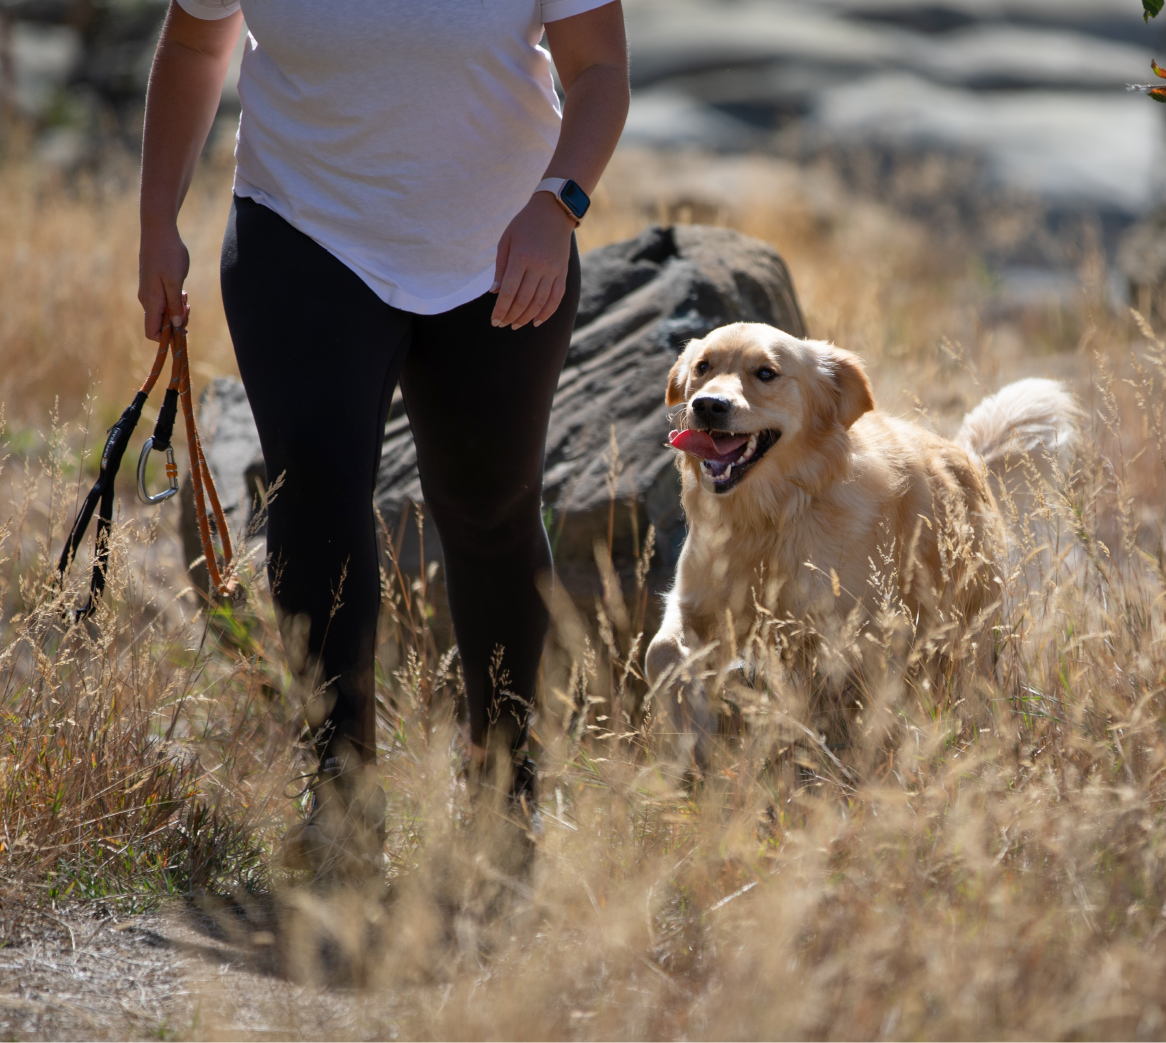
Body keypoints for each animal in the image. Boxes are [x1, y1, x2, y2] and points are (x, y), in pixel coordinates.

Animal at [643, 321, 1077, 764]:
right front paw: (692, 730)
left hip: (963, 631)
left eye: (766, 373)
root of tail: (968, 458)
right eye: (702, 367)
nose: (707, 405)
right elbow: (658, 651)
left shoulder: (856, 628)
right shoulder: (696, 602)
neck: (771, 516)